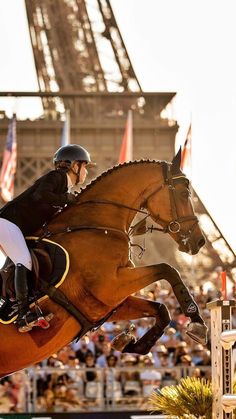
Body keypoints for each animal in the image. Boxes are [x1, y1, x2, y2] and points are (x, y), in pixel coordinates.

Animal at [0, 150, 206, 378]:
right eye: (184, 193)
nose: (199, 241)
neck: (97, 225)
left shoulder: (107, 303)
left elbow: (161, 309)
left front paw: (130, 344)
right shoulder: (109, 286)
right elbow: (168, 269)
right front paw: (197, 322)